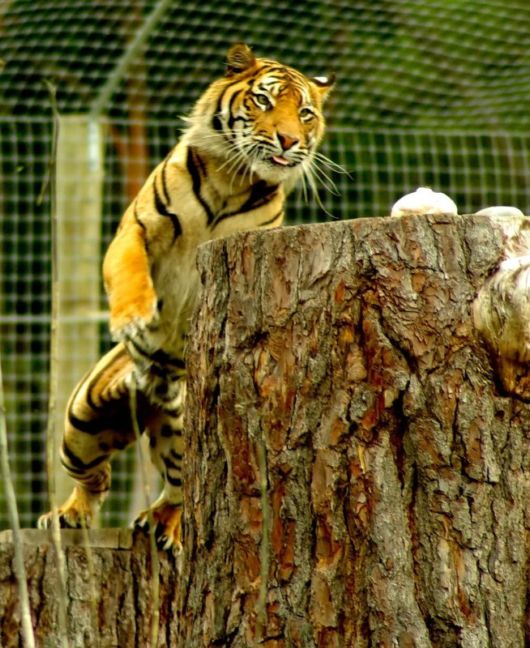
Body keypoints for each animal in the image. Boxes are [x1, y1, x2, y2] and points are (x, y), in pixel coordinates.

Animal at [38, 43, 334, 550]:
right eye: (263, 100)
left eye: (305, 113)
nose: (288, 140)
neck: (233, 180)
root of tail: (149, 390)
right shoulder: (135, 229)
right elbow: (129, 272)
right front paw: (133, 316)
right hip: (82, 420)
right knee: (96, 477)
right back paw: (67, 515)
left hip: (178, 430)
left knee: (183, 491)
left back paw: (164, 524)